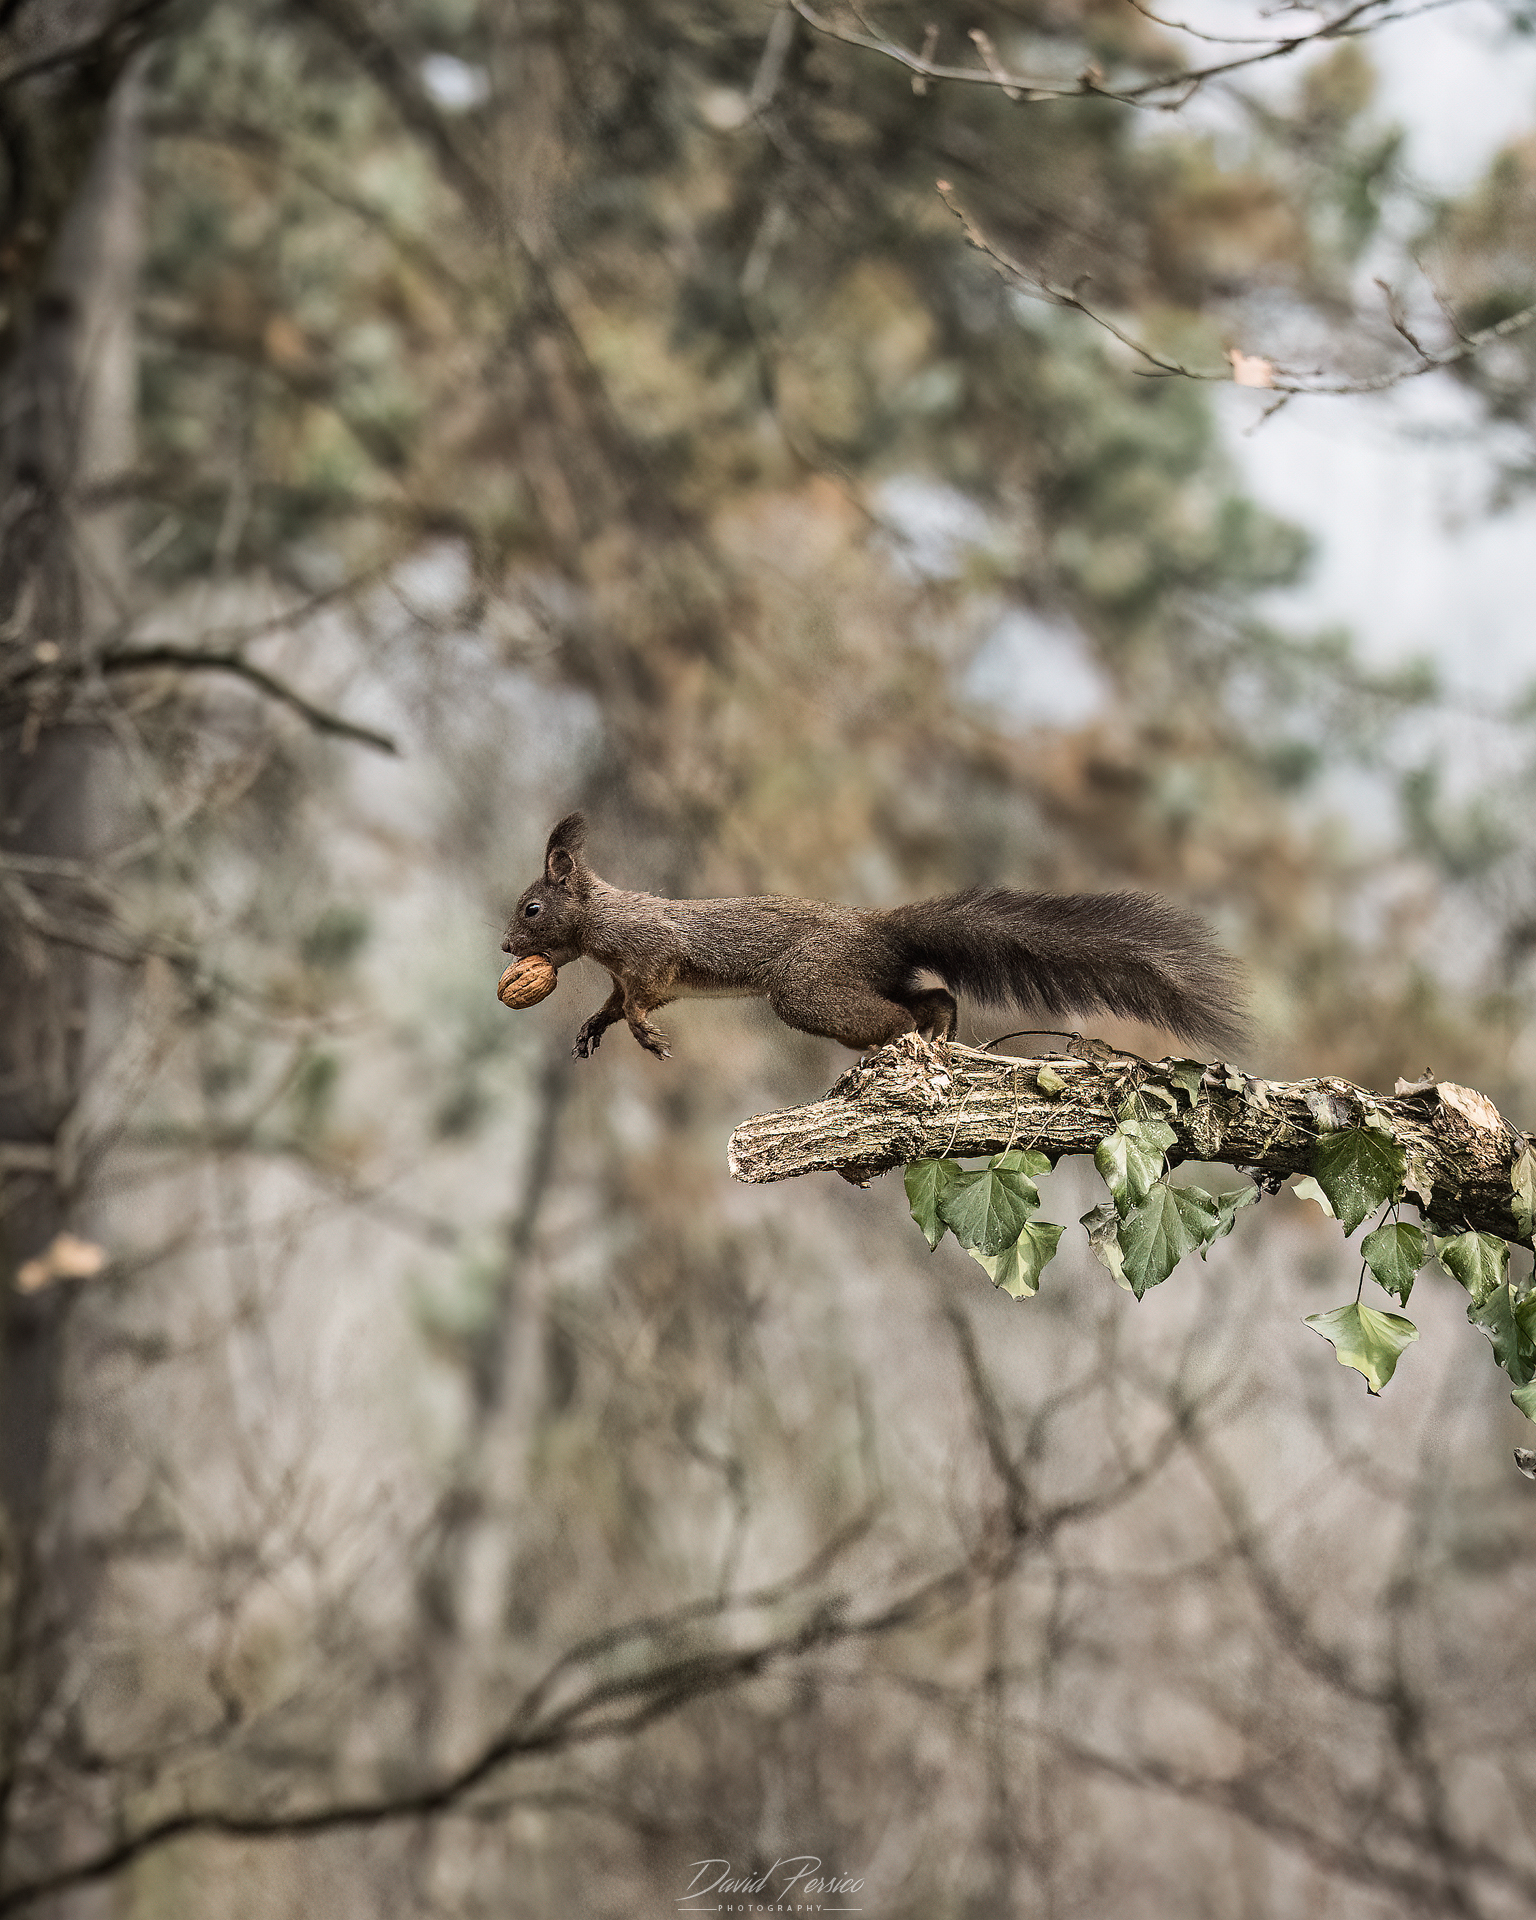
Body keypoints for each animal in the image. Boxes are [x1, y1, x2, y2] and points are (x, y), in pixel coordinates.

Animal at [504, 813, 1244, 1060]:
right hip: (867, 977)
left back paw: (913, 1041)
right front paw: (593, 1029)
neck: (604, 919)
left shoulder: (651, 958)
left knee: (897, 1014)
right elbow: (613, 1002)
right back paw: (939, 1034)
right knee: (934, 995)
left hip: (812, 988)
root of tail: (878, 929)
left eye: (532, 909)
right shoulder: (626, 972)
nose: (508, 949)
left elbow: (641, 999)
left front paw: (645, 1035)